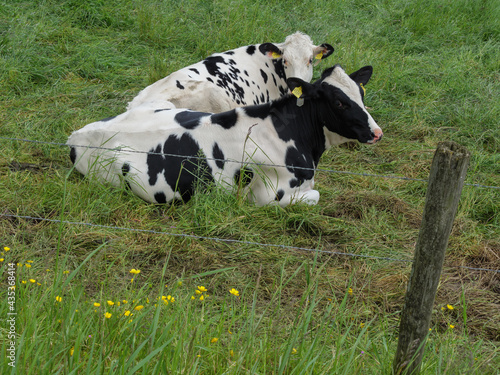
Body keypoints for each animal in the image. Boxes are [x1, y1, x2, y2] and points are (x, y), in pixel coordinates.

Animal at [67, 63, 382, 207]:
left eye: (361, 93)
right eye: (339, 102)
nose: (376, 132)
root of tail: (75, 135)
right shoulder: (269, 197)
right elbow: (315, 196)